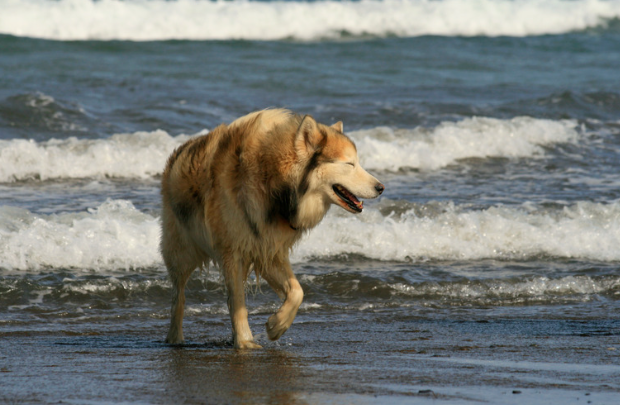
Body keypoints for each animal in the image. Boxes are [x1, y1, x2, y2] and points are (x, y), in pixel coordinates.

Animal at [160, 108, 382, 348]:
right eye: (349, 164)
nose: (381, 188)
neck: (273, 181)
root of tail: (177, 154)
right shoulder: (233, 253)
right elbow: (237, 302)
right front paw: (245, 341)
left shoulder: (268, 250)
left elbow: (297, 291)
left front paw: (276, 326)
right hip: (180, 252)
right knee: (178, 296)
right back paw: (175, 337)